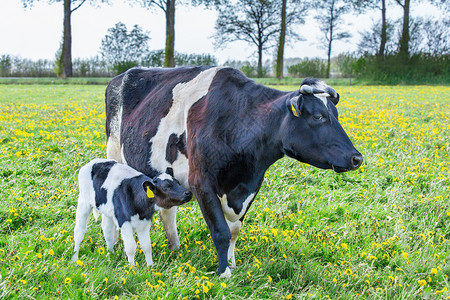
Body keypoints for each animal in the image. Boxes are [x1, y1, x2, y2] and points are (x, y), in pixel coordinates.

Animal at [104, 67, 362, 278]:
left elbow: (234, 230)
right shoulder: (201, 183)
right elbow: (220, 231)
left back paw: (175, 247)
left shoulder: (250, 186)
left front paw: (233, 263)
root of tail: (121, 76)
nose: (356, 158)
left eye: (336, 115)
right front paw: (224, 272)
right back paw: (114, 245)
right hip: (114, 155)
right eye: (318, 116)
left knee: (168, 212)